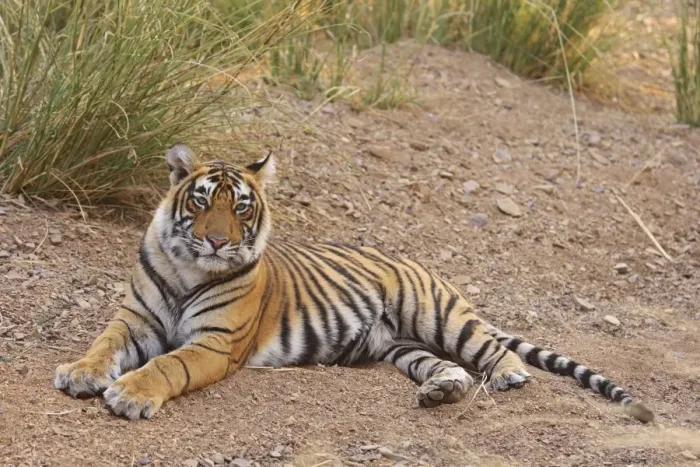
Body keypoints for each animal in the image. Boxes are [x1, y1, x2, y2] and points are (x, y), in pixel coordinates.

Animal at [54, 143, 654, 423]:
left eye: (241, 207)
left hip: (438, 315)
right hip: (404, 348)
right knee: (450, 368)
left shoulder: (215, 344)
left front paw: (129, 394)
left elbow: (167, 366)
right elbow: (102, 344)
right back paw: (440, 391)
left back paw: (507, 375)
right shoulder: (135, 320)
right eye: (201, 202)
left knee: (489, 347)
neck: (187, 266)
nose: (218, 242)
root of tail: (408, 257)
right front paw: (80, 373)